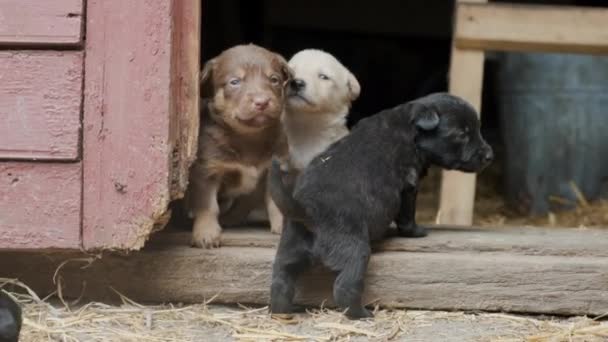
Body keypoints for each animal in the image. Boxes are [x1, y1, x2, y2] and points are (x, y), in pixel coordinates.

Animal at [186, 44, 294, 248]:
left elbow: (276, 202)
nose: (262, 102)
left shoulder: (275, 168)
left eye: (274, 79)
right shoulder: (206, 170)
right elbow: (207, 205)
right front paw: (205, 233)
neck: (249, 136)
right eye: (234, 82)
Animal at [268, 93, 492, 318]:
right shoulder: (409, 185)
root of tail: (305, 210)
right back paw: (361, 314)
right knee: (345, 286)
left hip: (290, 248)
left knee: (280, 281)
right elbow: (407, 215)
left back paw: (285, 310)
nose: (490, 156)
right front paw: (416, 232)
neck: (409, 128)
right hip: (355, 250)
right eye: (462, 134)